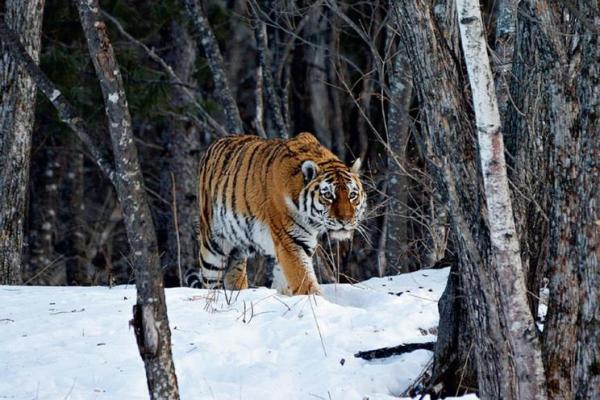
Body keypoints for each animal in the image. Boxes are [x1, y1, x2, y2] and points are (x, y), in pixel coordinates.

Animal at [192, 133, 366, 296]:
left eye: (352, 195)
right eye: (328, 195)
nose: (345, 220)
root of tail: (215, 143)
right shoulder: (290, 240)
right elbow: (303, 280)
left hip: (237, 248)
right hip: (213, 247)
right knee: (210, 283)